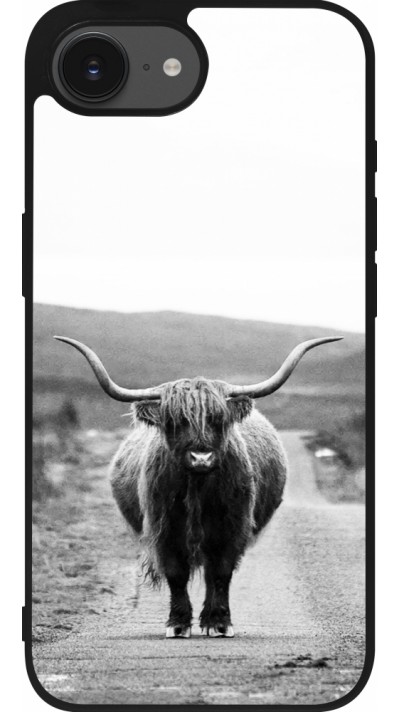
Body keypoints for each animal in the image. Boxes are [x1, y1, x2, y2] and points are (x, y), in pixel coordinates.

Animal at [55, 334, 341, 638]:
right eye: (175, 421)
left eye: (218, 419)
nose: (201, 457)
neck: (198, 488)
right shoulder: (164, 529)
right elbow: (176, 573)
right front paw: (178, 623)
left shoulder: (232, 528)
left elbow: (221, 573)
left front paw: (219, 622)